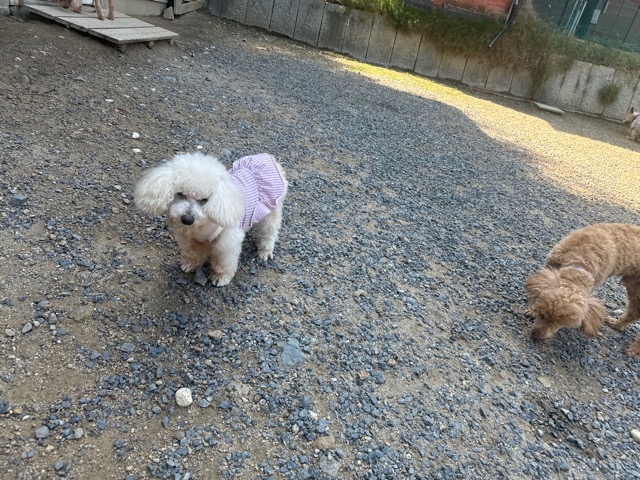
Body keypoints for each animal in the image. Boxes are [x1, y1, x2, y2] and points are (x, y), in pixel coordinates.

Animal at [134, 152, 287, 286]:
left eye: (204, 200)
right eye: (180, 194)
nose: (187, 219)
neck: (201, 225)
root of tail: (267, 157)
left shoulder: (227, 243)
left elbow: (223, 262)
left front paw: (220, 277)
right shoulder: (191, 239)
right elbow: (193, 253)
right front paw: (190, 264)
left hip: (271, 211)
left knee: (269, 232)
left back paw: (265, 251)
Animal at [524, 223, 640, 359]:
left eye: (561, 324)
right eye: (542, 315)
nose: (537, 336)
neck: (580, 259)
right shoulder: (549, 266)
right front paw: (532, 308)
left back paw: (634, 350)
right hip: (633, 286)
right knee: (634, 312)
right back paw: (616, 324)